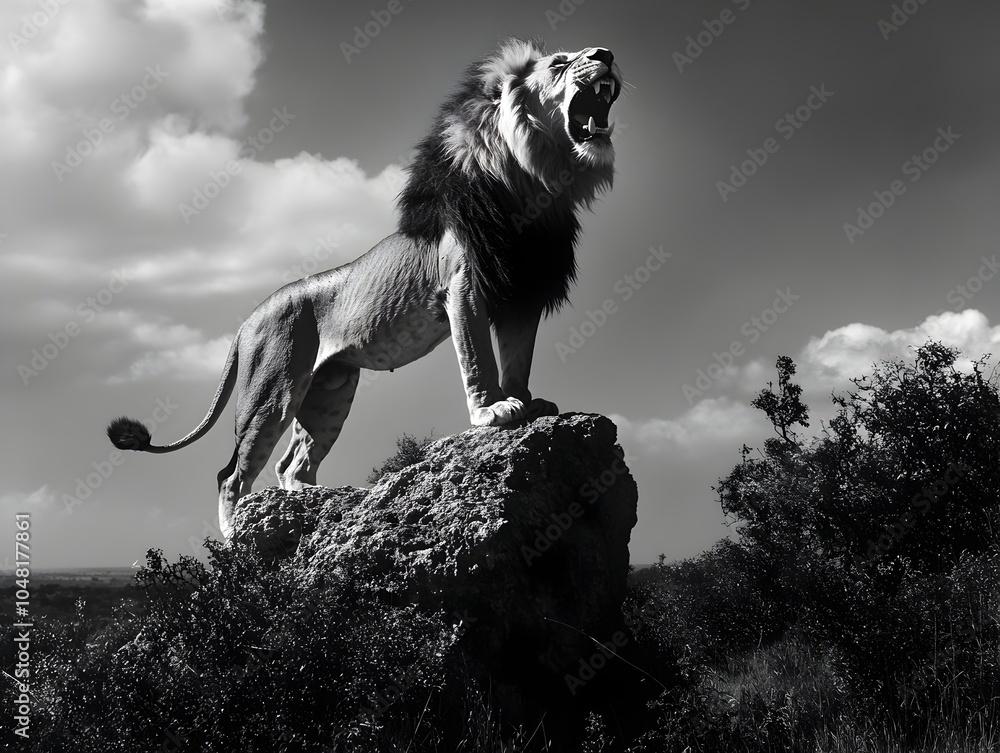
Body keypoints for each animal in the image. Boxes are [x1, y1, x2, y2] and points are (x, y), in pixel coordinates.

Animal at [108, 39, 623, 538]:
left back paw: (314, 506)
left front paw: (528, 402)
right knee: (232, 474)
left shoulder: (524, 292)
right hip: (272, 392)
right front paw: (493, 411)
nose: (606, 54)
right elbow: (479, 358)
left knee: (291, 466)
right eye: (559, 63)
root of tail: (248, 319)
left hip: (328, 394)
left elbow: (518, 357)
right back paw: (236, 539)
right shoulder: (465, 287)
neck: (535, 183)